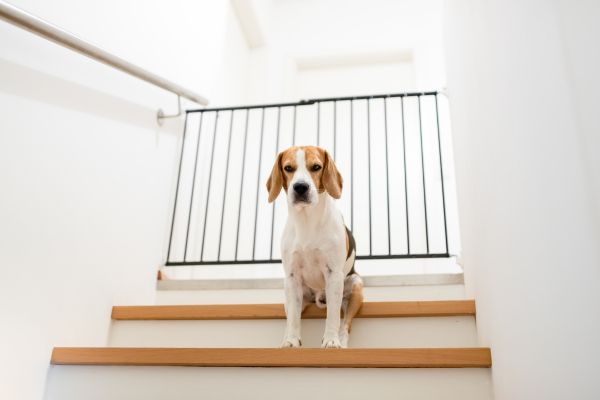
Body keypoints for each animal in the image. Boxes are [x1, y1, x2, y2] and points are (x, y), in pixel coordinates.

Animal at [268, 146, 364, 346]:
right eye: (288, 168)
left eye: (316, 167)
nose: (300, 187)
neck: (307, 221)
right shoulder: (292, 276)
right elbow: (293, 320)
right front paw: (291, 342)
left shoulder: (333, 274)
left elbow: (333, 316)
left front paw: (331, 342)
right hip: (291, 294)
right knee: (290, 319)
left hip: (356, 286)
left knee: (345, 324)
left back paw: (342, 343)